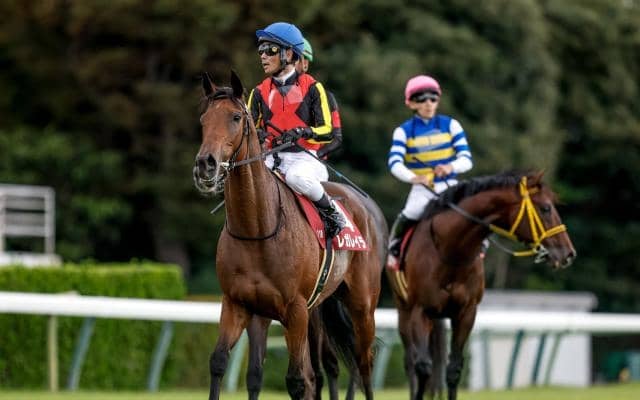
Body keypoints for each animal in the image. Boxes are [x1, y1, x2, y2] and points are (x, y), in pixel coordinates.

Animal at [194, 71, 387, 400]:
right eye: (204, 119)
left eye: (235, 117)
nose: (205, 165)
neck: (257, 229)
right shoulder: (237, 304)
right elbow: (220, 363)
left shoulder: (295, 311)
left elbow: (297, 379)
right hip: (320, 308)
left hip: (362, 304)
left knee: (363, 363)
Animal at [385, 171, 576, 400]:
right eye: (545, 208)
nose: (568, 253)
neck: (451, 251)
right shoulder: (419, 311)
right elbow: (422, 366)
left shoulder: (466, 313)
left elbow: (454, 369)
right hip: (403, 312)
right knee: (410, 361)